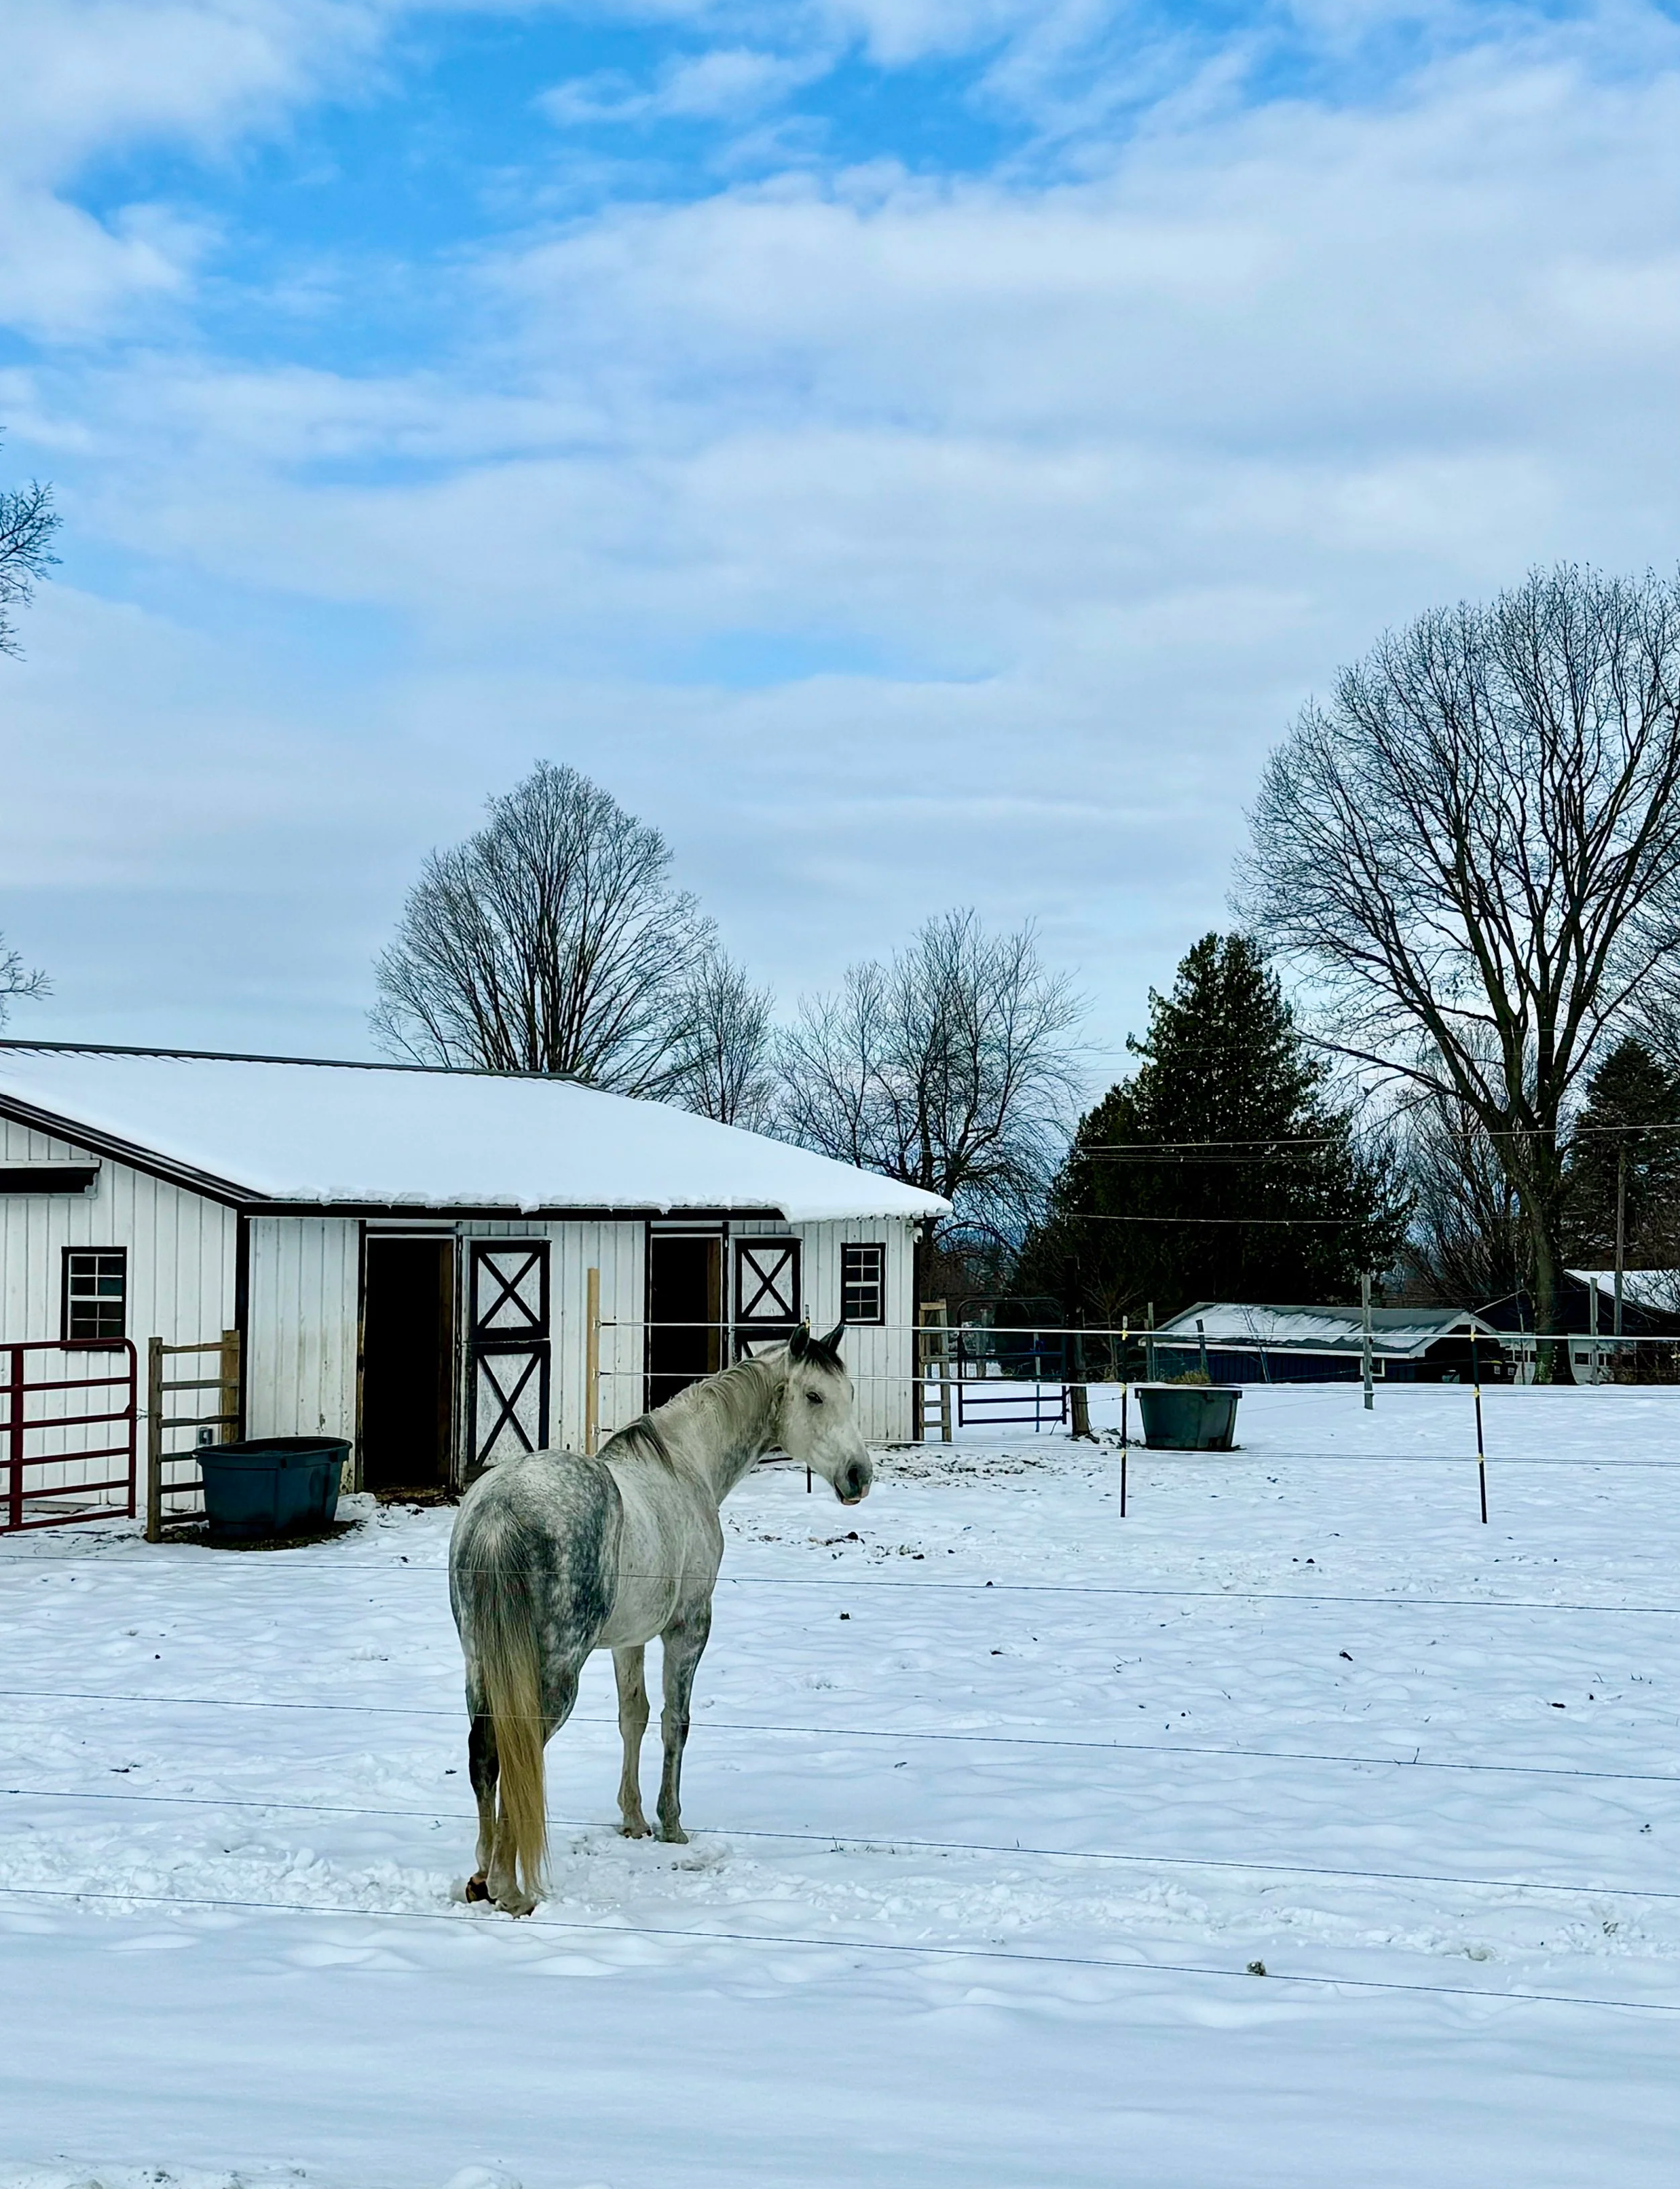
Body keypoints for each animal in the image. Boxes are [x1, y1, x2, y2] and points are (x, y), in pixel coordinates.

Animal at [448, 1319, 870, 1914]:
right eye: (814, 1396)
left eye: (847, 1394)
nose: (859, 1476)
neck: (684, 1466)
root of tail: (500, 1508)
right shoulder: (687, 1629)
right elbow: (676, 1720)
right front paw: (672, 1825)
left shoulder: (630, 1640)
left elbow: (634, 1715)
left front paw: (632, 1818)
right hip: (554, 1673)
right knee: (519, 1749)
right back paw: (510, 1888)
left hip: (479, 1662)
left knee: (484, 1754)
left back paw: (483, 1875)